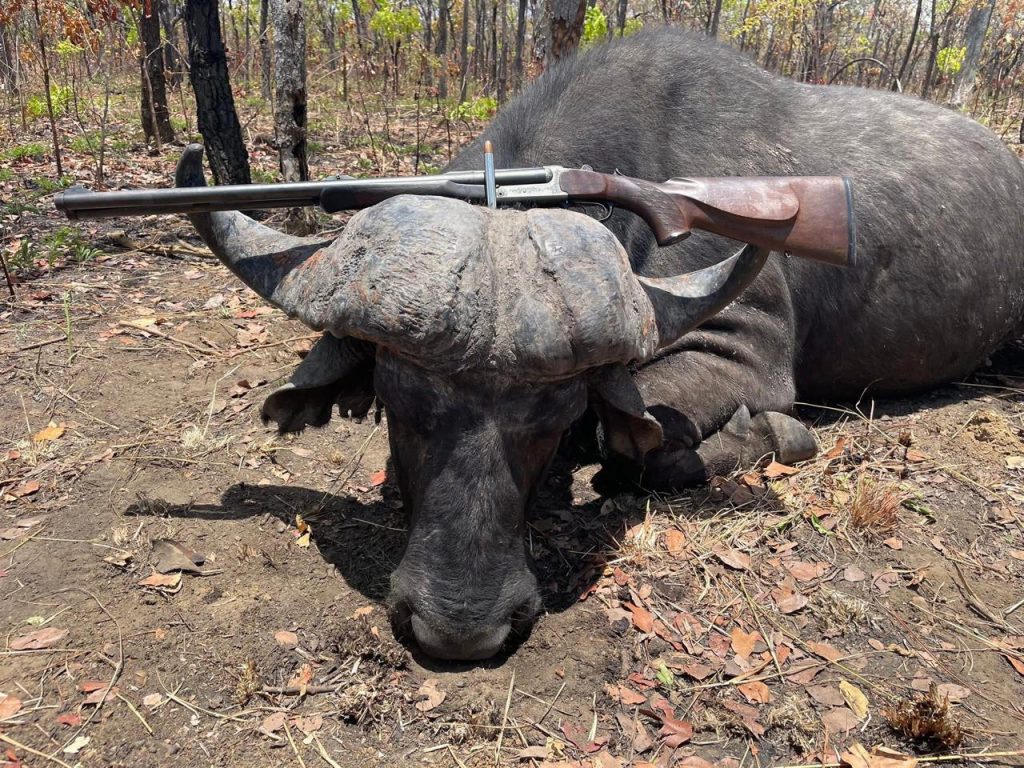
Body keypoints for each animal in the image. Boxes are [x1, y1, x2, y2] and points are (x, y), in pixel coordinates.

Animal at [176, 29, 1024, 660]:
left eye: (552, 418)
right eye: (396, 402)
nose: (461, 628)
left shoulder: (742, 353)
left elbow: (636, 442)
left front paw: (774, 436)